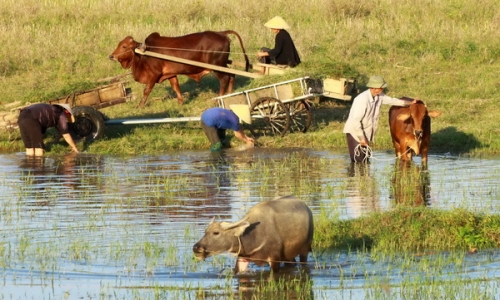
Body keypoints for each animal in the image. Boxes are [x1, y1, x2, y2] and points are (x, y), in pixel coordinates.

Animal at [110, 30, 250, 107]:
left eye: (124, 46)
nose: (111, 56)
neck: (144, 53)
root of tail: (221, 33)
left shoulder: (153, 75)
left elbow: (146, 91)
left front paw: (139, 106)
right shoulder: (171, 75)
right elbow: (176, 87)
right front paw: (181, 103)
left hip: (217, 66)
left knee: (224, 80)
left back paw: (218, 100)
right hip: (223, 64)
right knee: (232, 76)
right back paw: (229, 96)